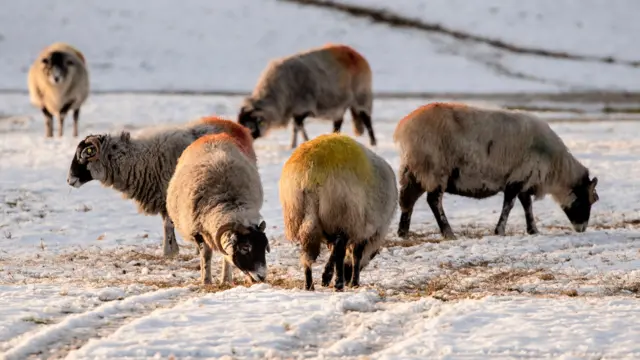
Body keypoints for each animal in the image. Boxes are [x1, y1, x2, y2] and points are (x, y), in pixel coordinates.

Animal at [65, 116, 255, 258]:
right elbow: (167, 224)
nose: (69, 180)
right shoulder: (163, 197)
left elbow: (168, 225)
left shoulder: (168, 195)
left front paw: (169, 251)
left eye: (83, 156)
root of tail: (236, 126)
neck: (138, 160)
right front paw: (173, 250)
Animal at [166, 132, 268, 284]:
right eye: (245, 247)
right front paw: (206, 281)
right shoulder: (198, 230)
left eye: (264, 247)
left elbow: (226, 257)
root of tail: (213, 135)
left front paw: (226, 280)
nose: (262, 276)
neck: (229, 201)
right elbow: (206, 255)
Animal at [239, 43, 378, 149]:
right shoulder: (296, 109)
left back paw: (373, 143)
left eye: (249, 126)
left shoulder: (303, 106)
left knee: (367, 120)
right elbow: (297, 127)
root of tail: (357, 55)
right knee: (338, 122)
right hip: (341, 104)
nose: (243, 143)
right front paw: (295, 144)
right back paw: (334, 137)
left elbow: (298, 126)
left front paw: (301, 142)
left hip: (362, 96)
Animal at [278, 134, 396, 292]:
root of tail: (309, 176)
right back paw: (337, 283)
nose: (348, 276)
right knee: (339, 249)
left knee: (307, 252)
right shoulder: (364, 230)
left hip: (299, 211)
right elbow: (355, 255)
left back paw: (309, 285)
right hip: (342, 213)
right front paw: (353, 282)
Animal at [396, 102, 600, 240]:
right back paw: (448, 233)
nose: (582, 228)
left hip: (414, 171)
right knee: (433, 201)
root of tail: (404, 128)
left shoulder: (525, 179)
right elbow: (509, 205)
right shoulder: (518, 178)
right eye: (586, 199)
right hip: (435, 169)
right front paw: (500, 231)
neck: (555, 167)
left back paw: (403, 233)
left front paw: (533, 230)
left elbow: (527, 205)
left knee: (407, 200)